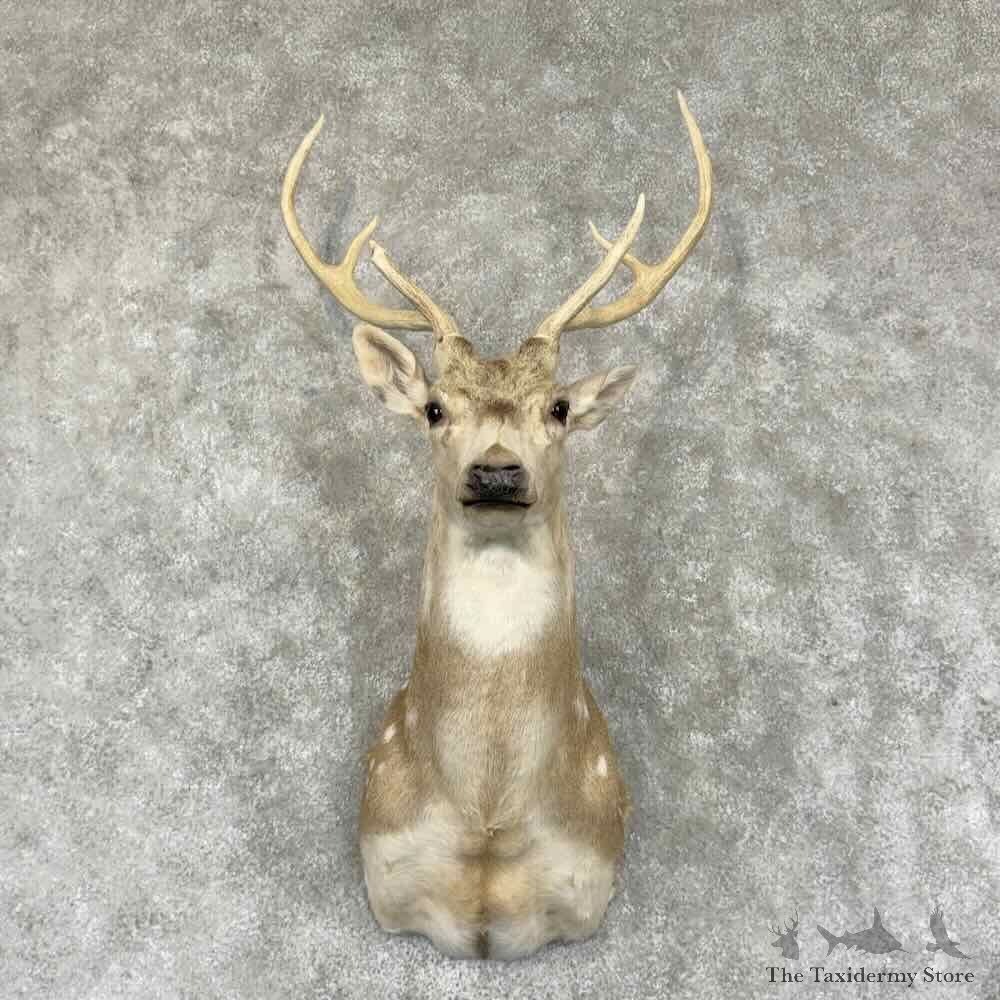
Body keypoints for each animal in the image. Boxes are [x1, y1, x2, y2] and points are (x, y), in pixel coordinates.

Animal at [280, 91, 712, 960]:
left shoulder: (590, 875)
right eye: (434, 409)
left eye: (559, 408)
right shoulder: (383, 870)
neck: (487, 814)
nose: (497, 471)